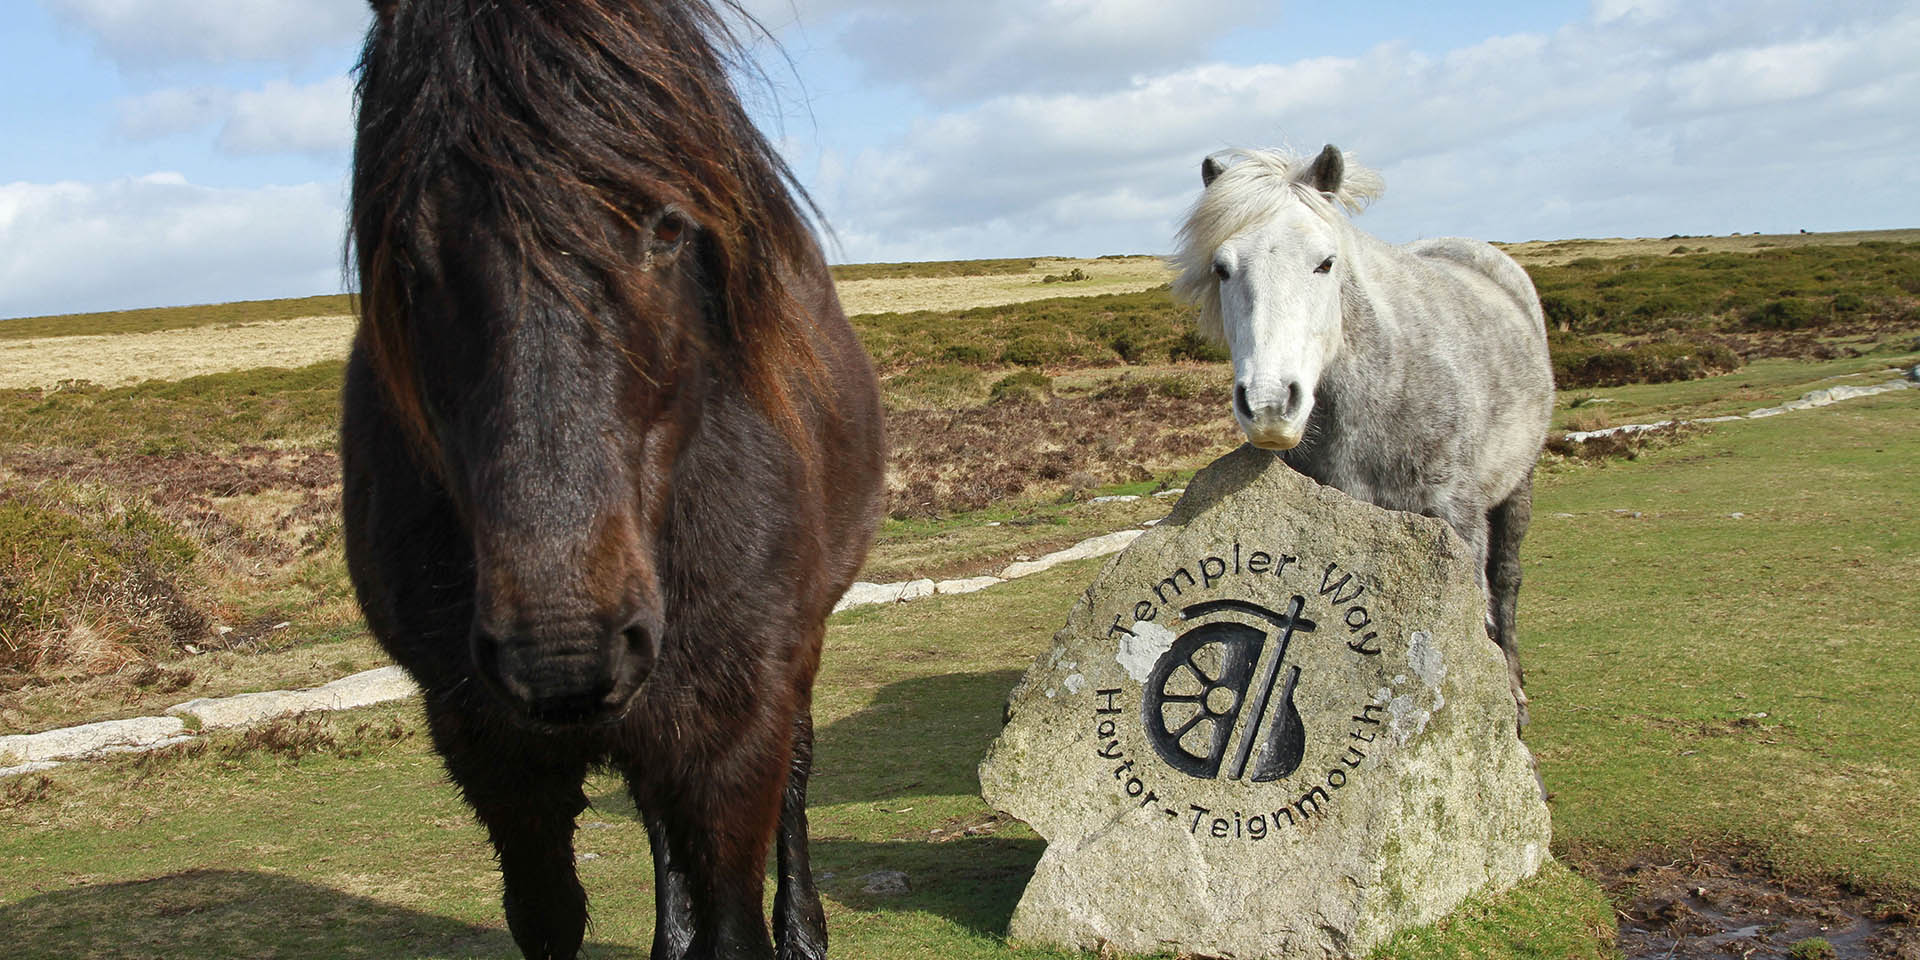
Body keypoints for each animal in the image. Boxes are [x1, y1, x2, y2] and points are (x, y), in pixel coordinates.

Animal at [345, 3, 883, 956]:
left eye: (667, 226)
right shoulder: (490, 753)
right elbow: (549, 914)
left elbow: (738, 911)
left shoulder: (734, 727)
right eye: (406, 247)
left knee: (796, 772)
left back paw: (805, 930)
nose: (560, 654)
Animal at [1167, 144, 1559, 725]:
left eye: (1325, 263)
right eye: (1222, 268)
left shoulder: (1457, 519)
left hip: (1518, 486)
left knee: (1506, 581)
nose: (1268, 405)